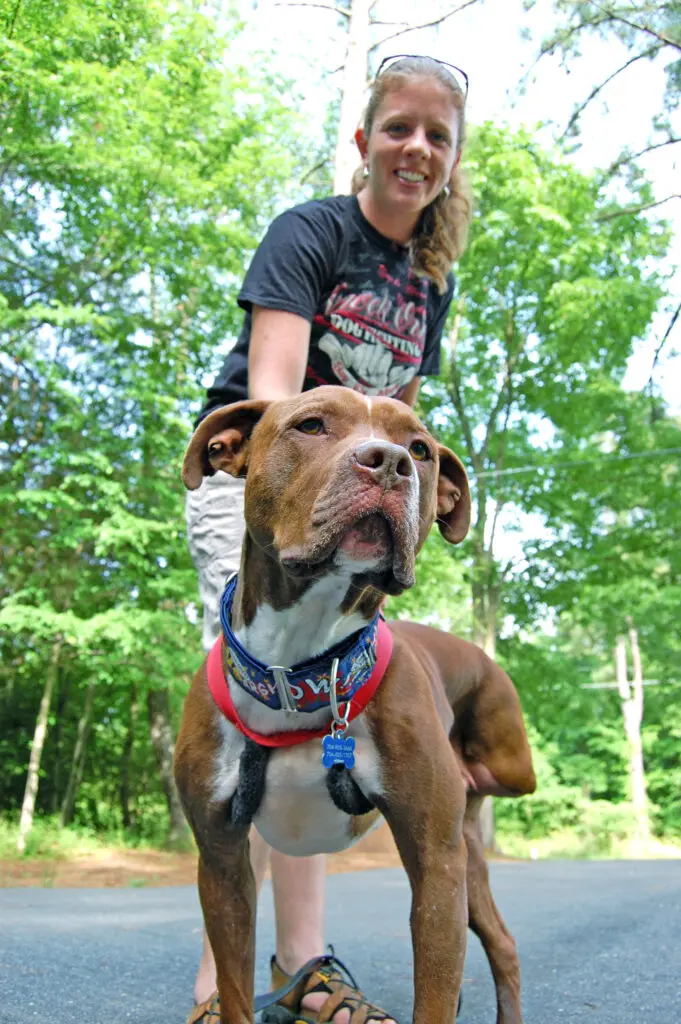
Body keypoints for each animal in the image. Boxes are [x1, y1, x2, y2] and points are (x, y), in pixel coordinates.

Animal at [175, 387, 536, 1024]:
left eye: (420, 448)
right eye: (311, 425)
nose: (390, 462)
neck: (298, 669)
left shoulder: (435, 864)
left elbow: (434, 997)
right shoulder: (221, 862)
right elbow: (236, 989)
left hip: (495, 793)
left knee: (502, 941)